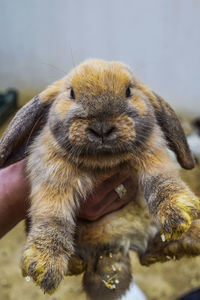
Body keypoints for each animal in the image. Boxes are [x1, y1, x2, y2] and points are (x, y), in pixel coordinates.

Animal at [0, 59, 199, 300]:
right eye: (72, 93)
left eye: (129, 91)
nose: (102, 128)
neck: (104, 162)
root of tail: (112, 249)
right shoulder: (52, 175)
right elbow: (52, 214)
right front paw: (43, 264)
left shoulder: (153, 154)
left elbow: (161, 180)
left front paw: (179, 216)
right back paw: (74, 263)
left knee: (147, 253)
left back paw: (183, 241)